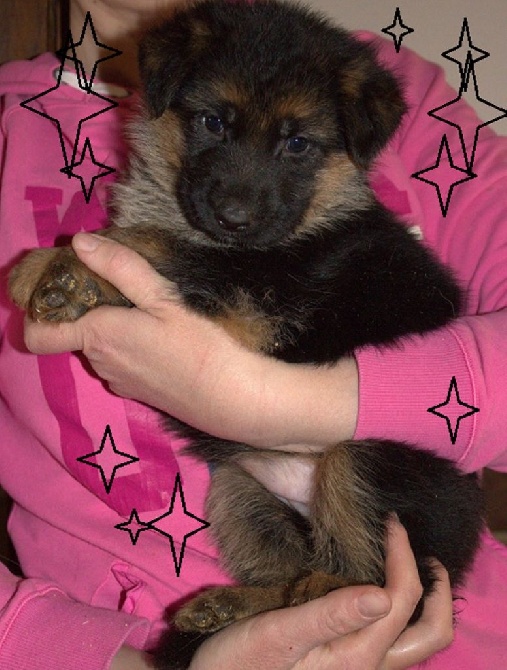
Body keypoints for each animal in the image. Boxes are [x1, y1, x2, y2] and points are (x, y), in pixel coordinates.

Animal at [8, 0, 484, 668]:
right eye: (213, 122)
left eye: (298, 143)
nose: (234, 218)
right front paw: (57, 270)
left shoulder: (260, 306)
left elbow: (163, 248)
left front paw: (52, 269)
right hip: (239, 490)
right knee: (282, 573)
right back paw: (232, 610)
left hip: (371, 457)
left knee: (385, 586)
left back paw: (329, 593)